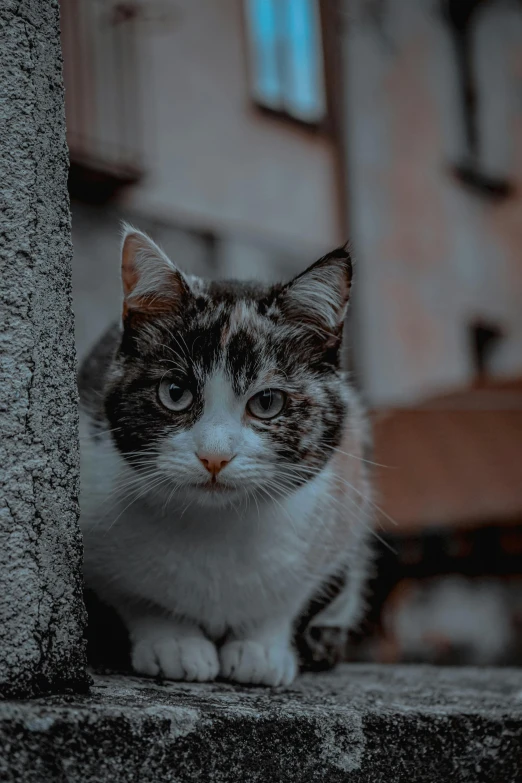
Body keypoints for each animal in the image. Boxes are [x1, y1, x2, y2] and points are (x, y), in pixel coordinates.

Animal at [77, 227, 372, 688]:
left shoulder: (345, 502)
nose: (214, 457)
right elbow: (133, 596)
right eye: (174, 392)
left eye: (267, 402)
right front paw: (174, 642)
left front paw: (260, 647)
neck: (216, 526)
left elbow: (287, 599)